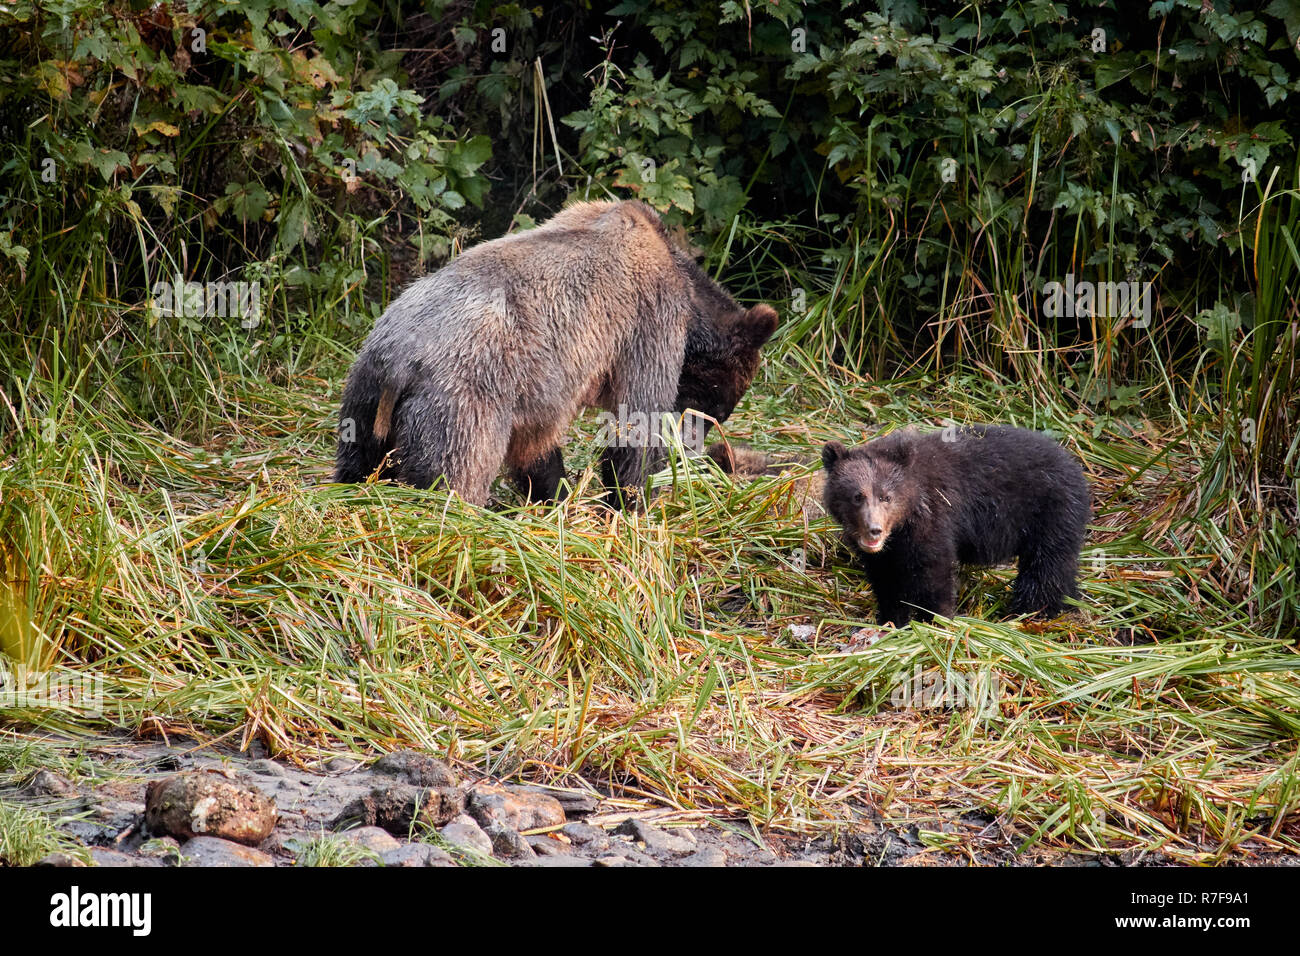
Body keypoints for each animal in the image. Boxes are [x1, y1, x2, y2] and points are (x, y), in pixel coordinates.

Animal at [338, 201, 780, 509]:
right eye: (715, 408)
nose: (692, 451)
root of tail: (398, 363)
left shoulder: (538, 397)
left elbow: (537, 450)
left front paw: (557, 496)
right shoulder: (647, 322)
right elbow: (636, 422)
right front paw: (630, 501)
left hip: (362, 401)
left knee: (355, 465)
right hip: (463, 403)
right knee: (453, 474)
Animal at [821, 426, 1086, 629]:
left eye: (886, 497)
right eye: (857, 496)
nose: (874, 530)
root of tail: (1076, 466)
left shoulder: (935, 520)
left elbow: (934, 573)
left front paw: (935, 621)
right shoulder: (886, 553)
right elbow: (886, 580)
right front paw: (890, 620)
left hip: (1050, 513)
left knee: (1046, 567)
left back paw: (1032, 611)